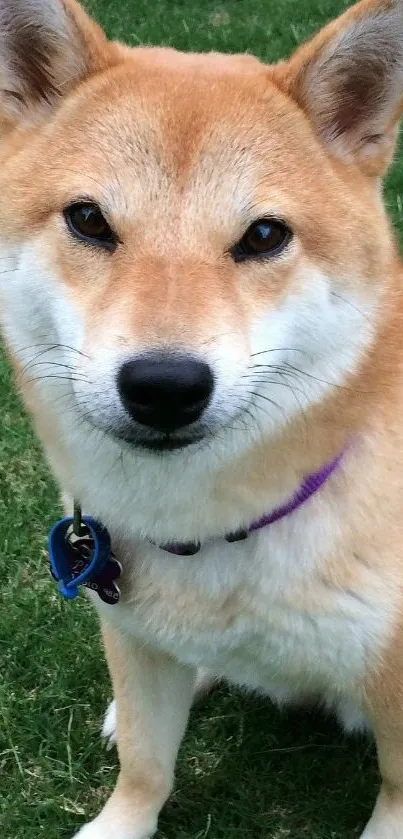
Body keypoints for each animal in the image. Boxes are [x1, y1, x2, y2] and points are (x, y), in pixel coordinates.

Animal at [0, 0, 403, 836]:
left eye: (263, 235)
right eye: (88, 220)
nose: (163, 385)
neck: (215, 530)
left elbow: (393, 788)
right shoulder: (128, 629)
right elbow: (145, 766)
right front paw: (120, 818)